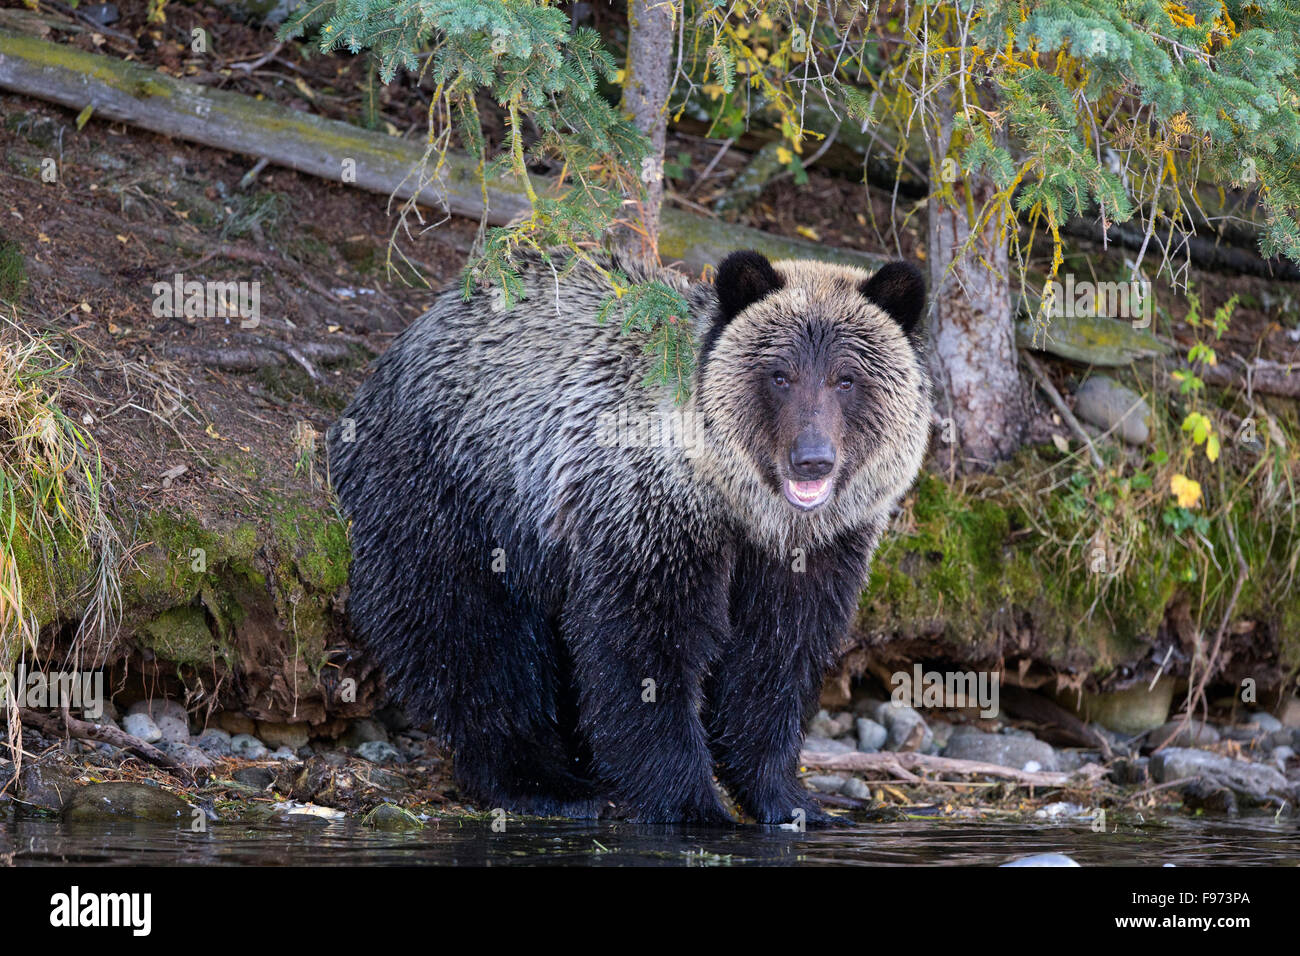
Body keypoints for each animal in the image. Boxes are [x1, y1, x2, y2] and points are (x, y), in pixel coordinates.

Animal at [330, 251, 930, 827]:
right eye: (780, 375)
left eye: (846, 378)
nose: (812, 458)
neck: (743, 508)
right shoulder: (646, 516)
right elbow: (643, 653)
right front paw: (692, 803)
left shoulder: (815, 553)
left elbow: (776, 660)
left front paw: (790, 799)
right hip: (460, 494)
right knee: (468, 634)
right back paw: (544, 782)